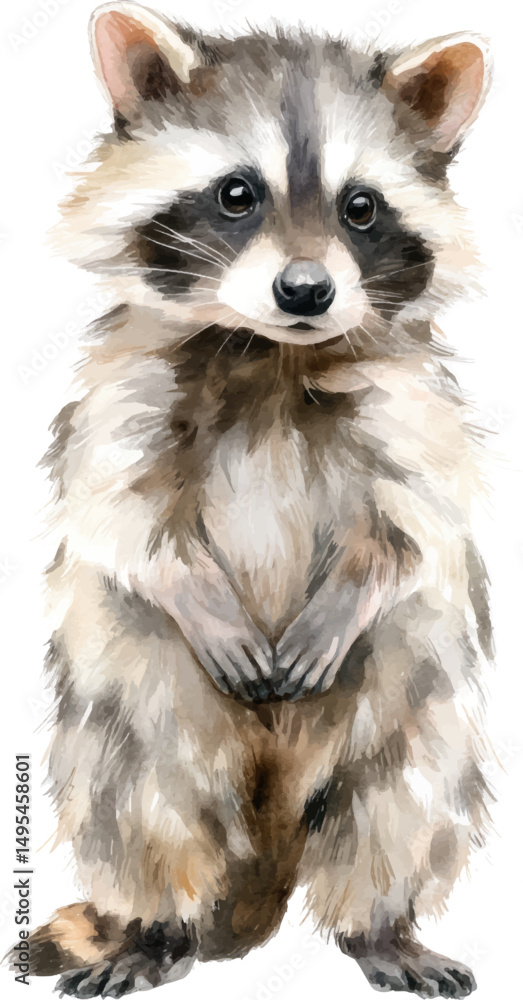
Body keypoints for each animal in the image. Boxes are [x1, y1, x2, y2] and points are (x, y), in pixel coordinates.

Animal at [26, 4, 494, 997]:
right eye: (236, 194)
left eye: (361, 208)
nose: (305, 291)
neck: (269, 353)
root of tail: (269, 834)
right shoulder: (119, 396)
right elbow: (120, 516)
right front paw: (188, 586)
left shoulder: (413, 413)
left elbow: (413, 530)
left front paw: (355, 586)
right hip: (138, 700)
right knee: (141, 799)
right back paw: (153, 926)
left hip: (410, 703)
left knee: (402, 799)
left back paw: (381, 927)